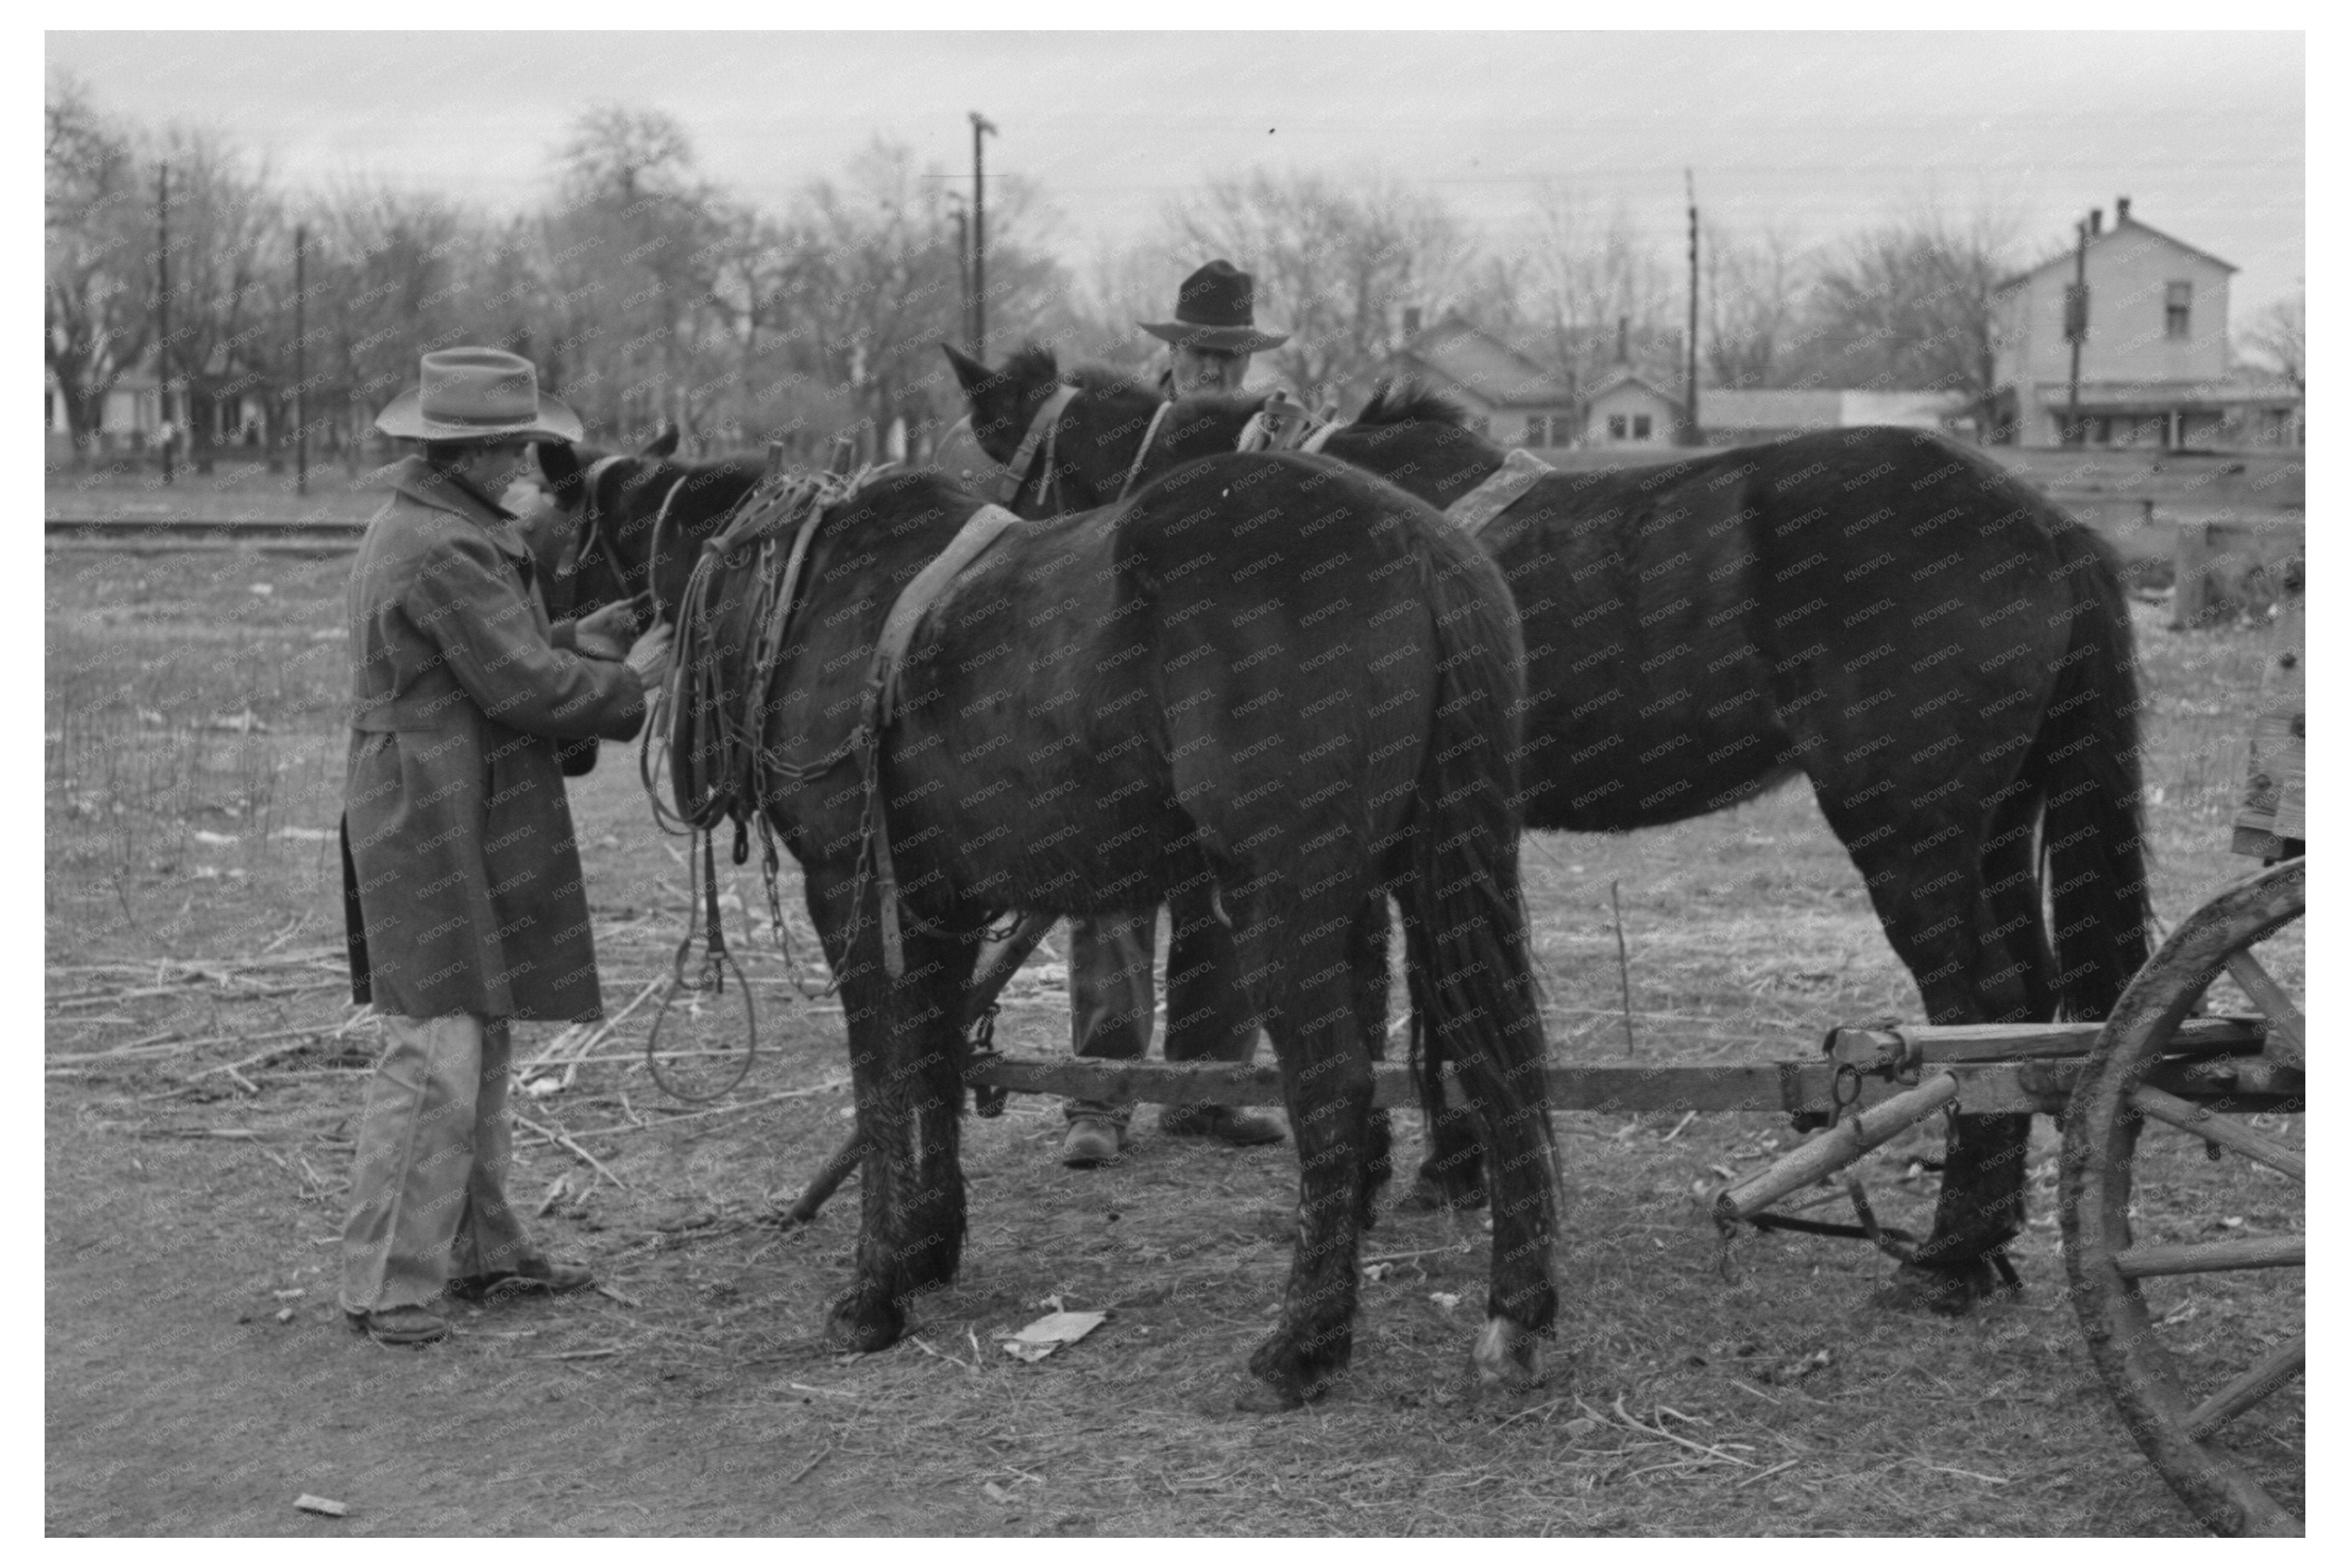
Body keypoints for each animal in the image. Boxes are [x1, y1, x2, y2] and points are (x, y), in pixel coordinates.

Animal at [535, 435, 1560, 1401]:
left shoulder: (853, 894)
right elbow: (936, 1065)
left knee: (1337, 1087)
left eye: (543, 537)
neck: (808, 588)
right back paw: (1512, 1315)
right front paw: (928, 1245)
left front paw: (873, 1293)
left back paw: (1304, 1343)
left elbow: (881, 1080)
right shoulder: (938, 906)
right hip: (1400, 884)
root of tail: (1424, 546)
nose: (566, 720)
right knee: (1496, 1064)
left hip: (1282, 901)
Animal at [940, 343, 2152, 1316]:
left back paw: (1947, 1259)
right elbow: (1426, 999)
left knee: (1979, 1011)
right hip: (1989, 834)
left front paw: (1406, 1174)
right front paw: (1448, 1169)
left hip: (1911, 839)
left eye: (998, 447)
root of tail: (2044, 524)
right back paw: (1980, 1249)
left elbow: (1400, 998)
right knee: (2020, 1025)